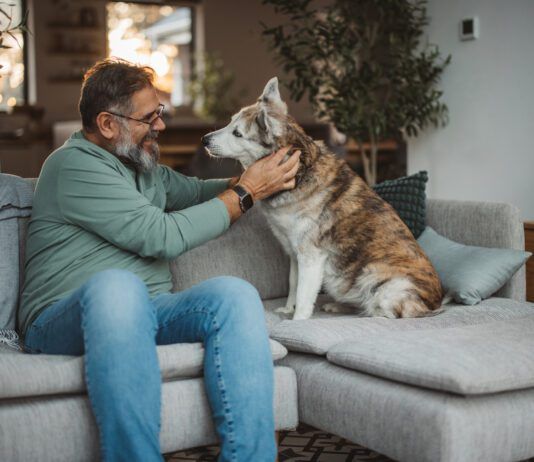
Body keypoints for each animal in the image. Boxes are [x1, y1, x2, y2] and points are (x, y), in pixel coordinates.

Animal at [201, 76, 444, 322]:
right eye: (230, 122)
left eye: (237, 133)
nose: (204, 140)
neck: (302, 170)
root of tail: (434, 304)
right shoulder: (294, 254)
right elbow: (293, 285)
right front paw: (288, 310)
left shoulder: (311, 257)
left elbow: (303, 294)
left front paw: (297, 320)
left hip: (377, 279)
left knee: (386, 311)